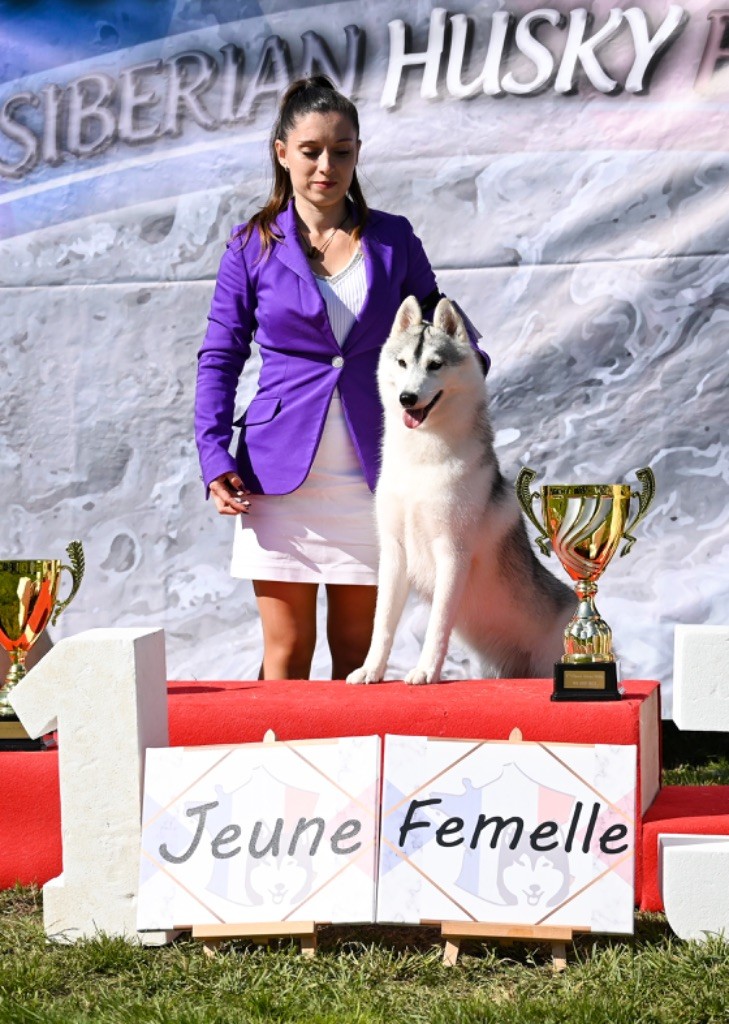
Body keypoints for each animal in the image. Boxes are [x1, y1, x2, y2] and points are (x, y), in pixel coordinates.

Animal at [348, 296, 573, 684]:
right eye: (402, 362)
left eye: (435, 365)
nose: (407, 398)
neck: (420, 463)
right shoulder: (394, 552)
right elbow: (383, 625)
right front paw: (371, 670)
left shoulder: (452, 553)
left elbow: (438, 625)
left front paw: (425, 671)